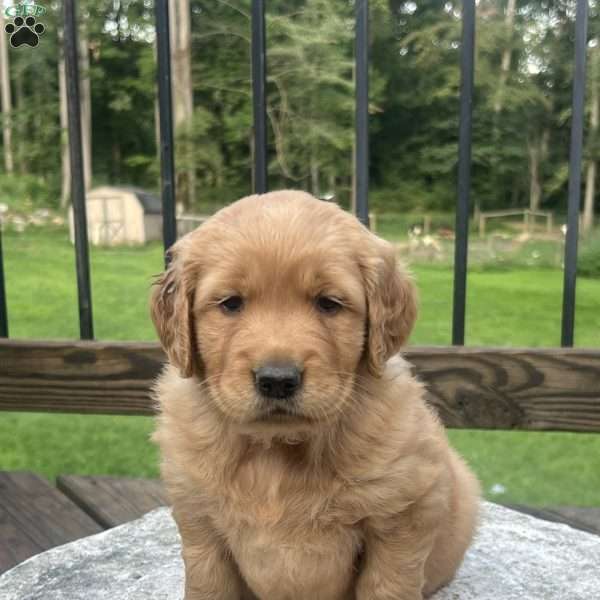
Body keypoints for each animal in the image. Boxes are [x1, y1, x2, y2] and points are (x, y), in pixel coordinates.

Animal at [152, 191, 480, 600]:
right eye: (230, 303)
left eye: (328, 303)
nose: (277, 380)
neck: (278, 450)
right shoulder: (200, 522)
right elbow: (209, 585)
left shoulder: (404, 515)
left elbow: (386, 585)